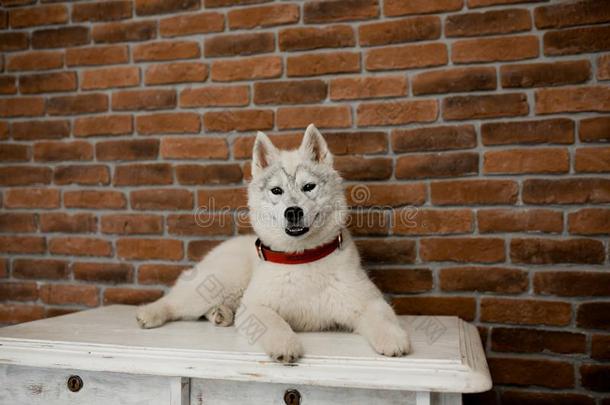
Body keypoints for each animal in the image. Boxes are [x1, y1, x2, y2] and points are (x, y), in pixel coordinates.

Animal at [134, 124, 408, 362]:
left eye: (309, 186)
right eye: (277, 191)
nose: (293, 211)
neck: (302, 257)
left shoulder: (368, 300)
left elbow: (382, 317)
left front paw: (394, 339)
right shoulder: (255, 305)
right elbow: (274, 322)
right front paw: (285, 344)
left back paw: (219, 313)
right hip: (223, 282)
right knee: (176, 300)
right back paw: (150, 313)